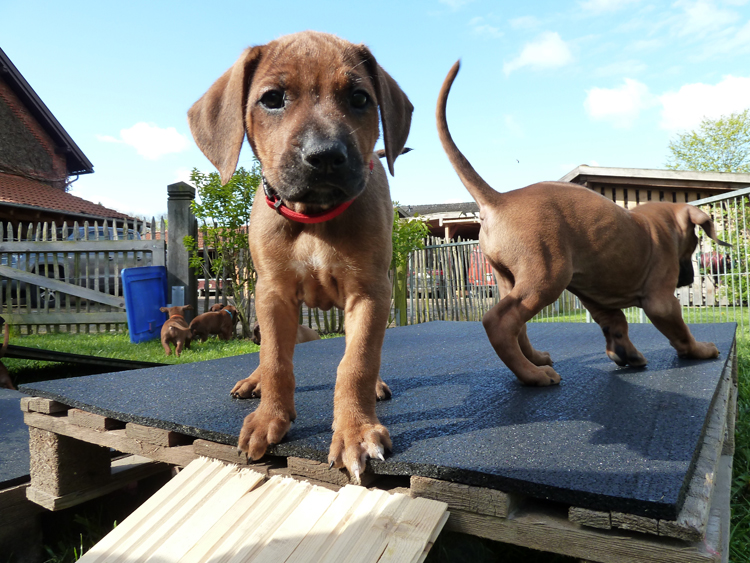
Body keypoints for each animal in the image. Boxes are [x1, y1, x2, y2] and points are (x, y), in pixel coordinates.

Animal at [188, 31, 412, 481]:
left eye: (359, 98)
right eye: (273, 98)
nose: (324, 155)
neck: (313, 216)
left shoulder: (369, 293)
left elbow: (357, 361)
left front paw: (356, 431)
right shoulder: (273, 294)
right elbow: (276, 359)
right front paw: (268, 417)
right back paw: (253, 381)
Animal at [437, 61, 727, 386]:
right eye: (692, 246)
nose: (687, 279)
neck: (657, 223)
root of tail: (499, 199)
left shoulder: (597, 297)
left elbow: (616, 323)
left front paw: (626, 354)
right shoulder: (660, 300)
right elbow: (680, 332)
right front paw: (700, 350)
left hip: (507, 278)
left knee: (518, 325)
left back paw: (535, 359)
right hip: (546, 277)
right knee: (499, 321)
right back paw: (533, 375)